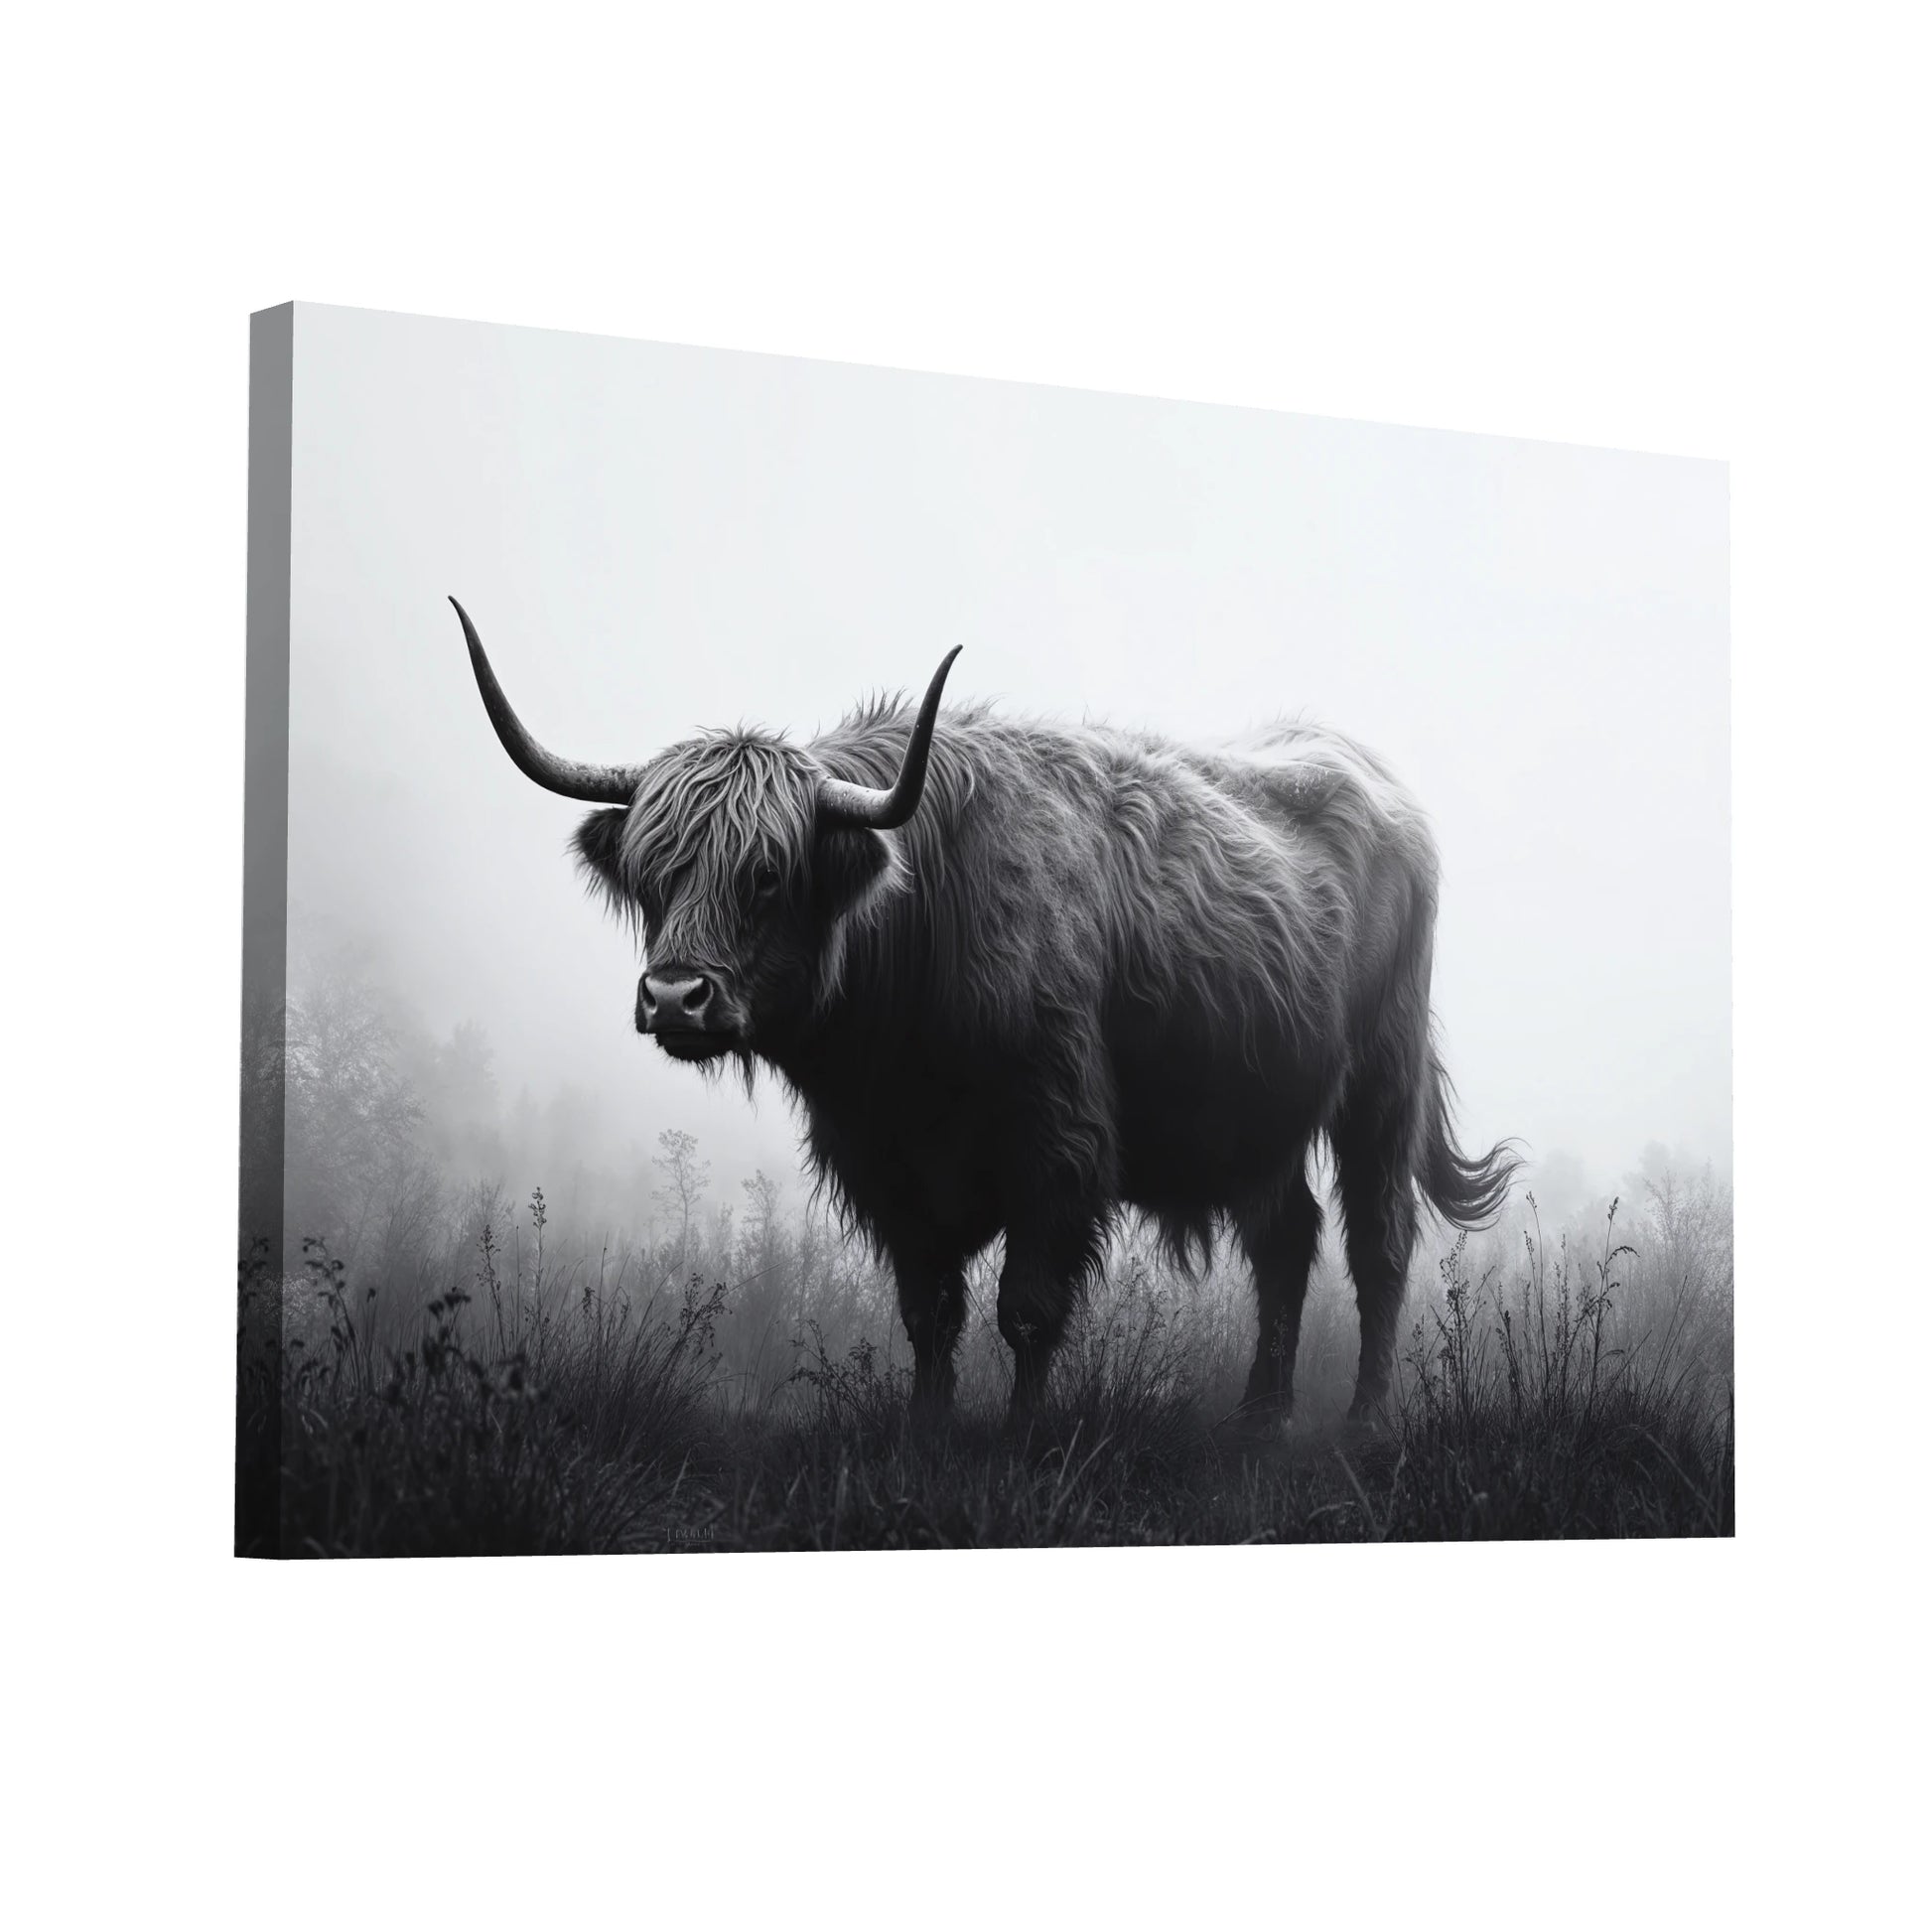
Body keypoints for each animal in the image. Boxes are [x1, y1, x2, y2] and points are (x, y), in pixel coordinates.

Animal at [451, 597, 1518, 1428]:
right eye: (652, 873)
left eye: (768, 874)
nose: (676, 996)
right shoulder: (882, 1163)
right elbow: (930, 1314)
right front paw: (929, 1434)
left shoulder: (1059, 1145)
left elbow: (1028, 1308)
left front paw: (1020, 1438)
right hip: (1256, 1106)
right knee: (1285, 1238)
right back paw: (1260, 1416)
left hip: (1381, 1077)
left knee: (1379, 1239)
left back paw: (1363, 1419)